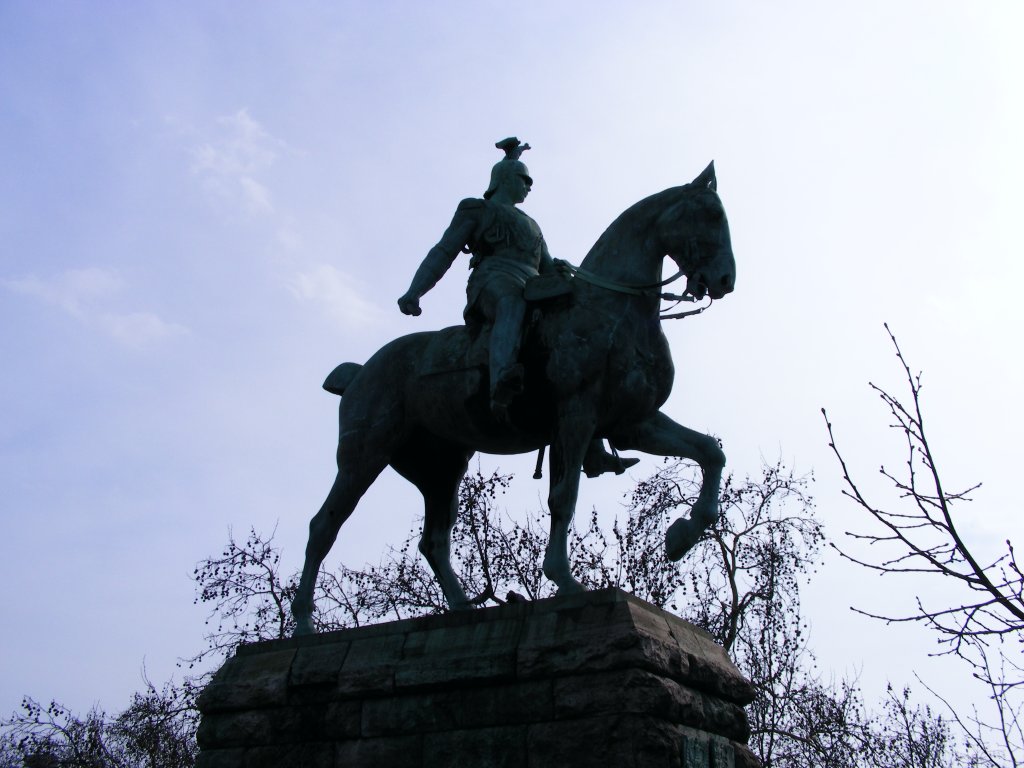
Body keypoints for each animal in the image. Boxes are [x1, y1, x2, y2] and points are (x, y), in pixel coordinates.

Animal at [292, 162, 733, 638]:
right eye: (711, 215)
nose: (725, 280)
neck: (613, 309)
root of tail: (362, 371)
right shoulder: (576, 416)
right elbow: (564, 496)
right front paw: (564, 579)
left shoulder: (632, 423)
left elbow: (710, 452)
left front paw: (682, 535)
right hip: (365, 454)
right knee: (324, 525)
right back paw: (302, 625)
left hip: (440, 468)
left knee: (434, 540)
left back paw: (461, 608)